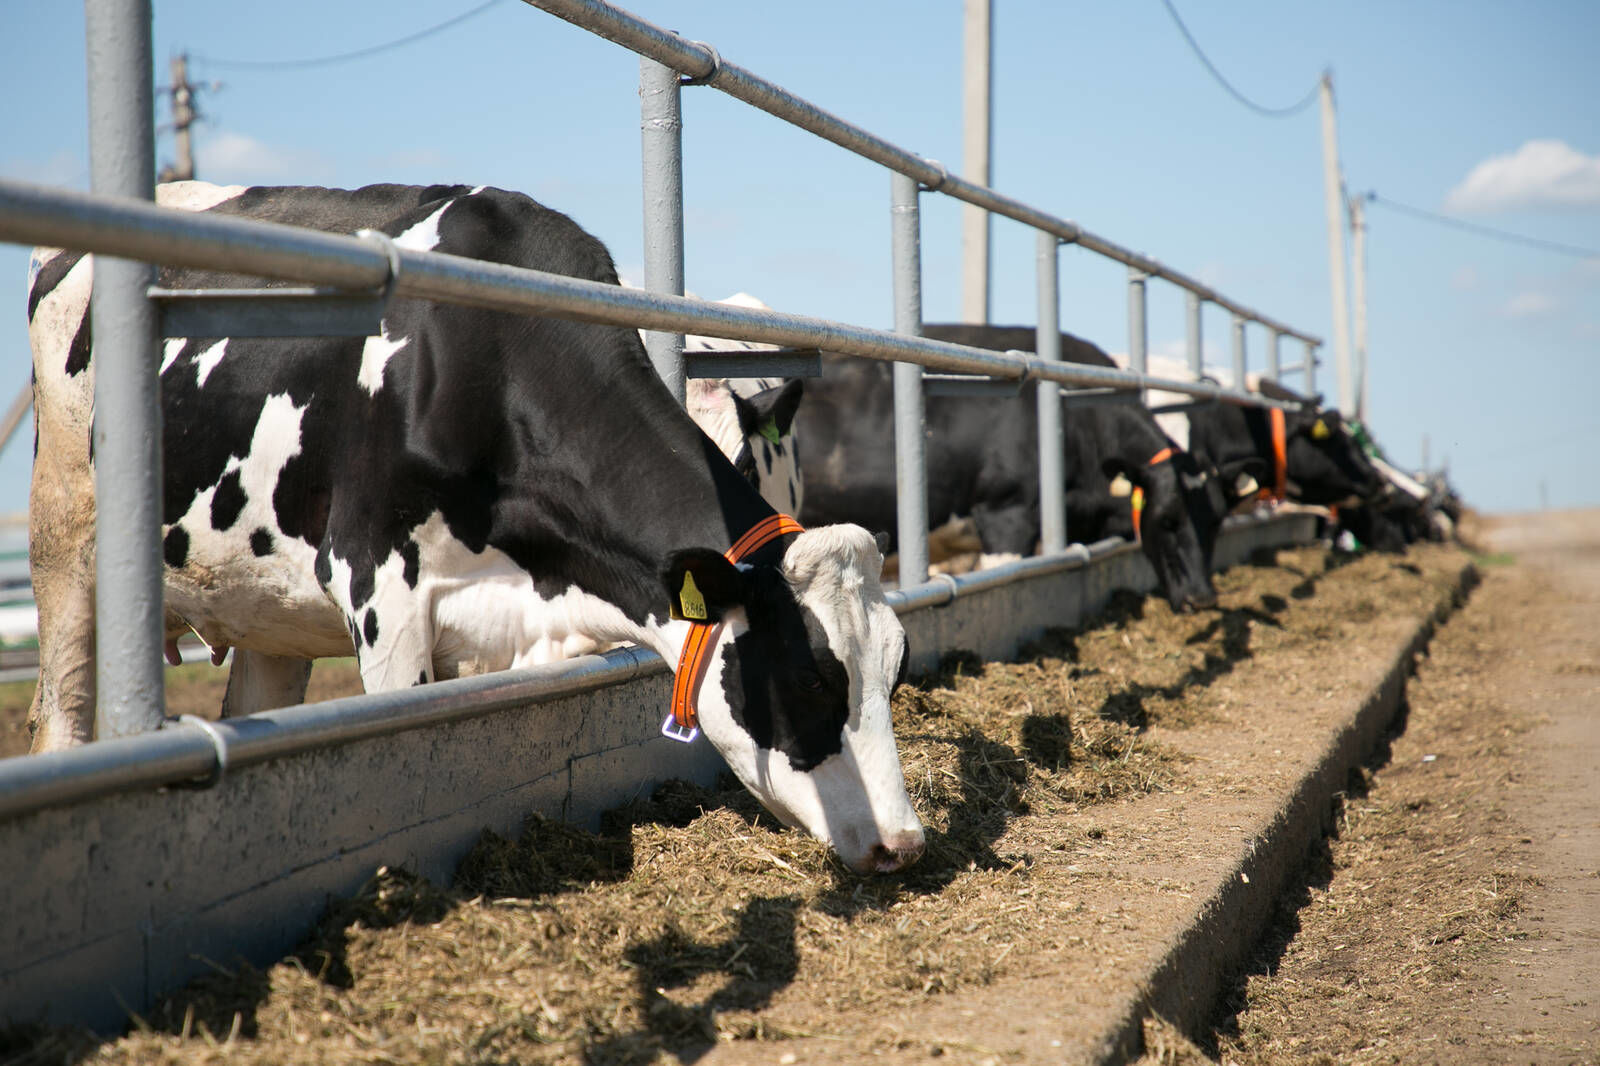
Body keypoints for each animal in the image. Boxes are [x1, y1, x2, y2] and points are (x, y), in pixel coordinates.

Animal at [25, 180, 928, 870]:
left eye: (893, 670)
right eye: (812, 677)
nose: (905, 843)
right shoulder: (378, 591)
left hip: (263, 601)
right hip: (63, 532)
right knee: (58, 712)